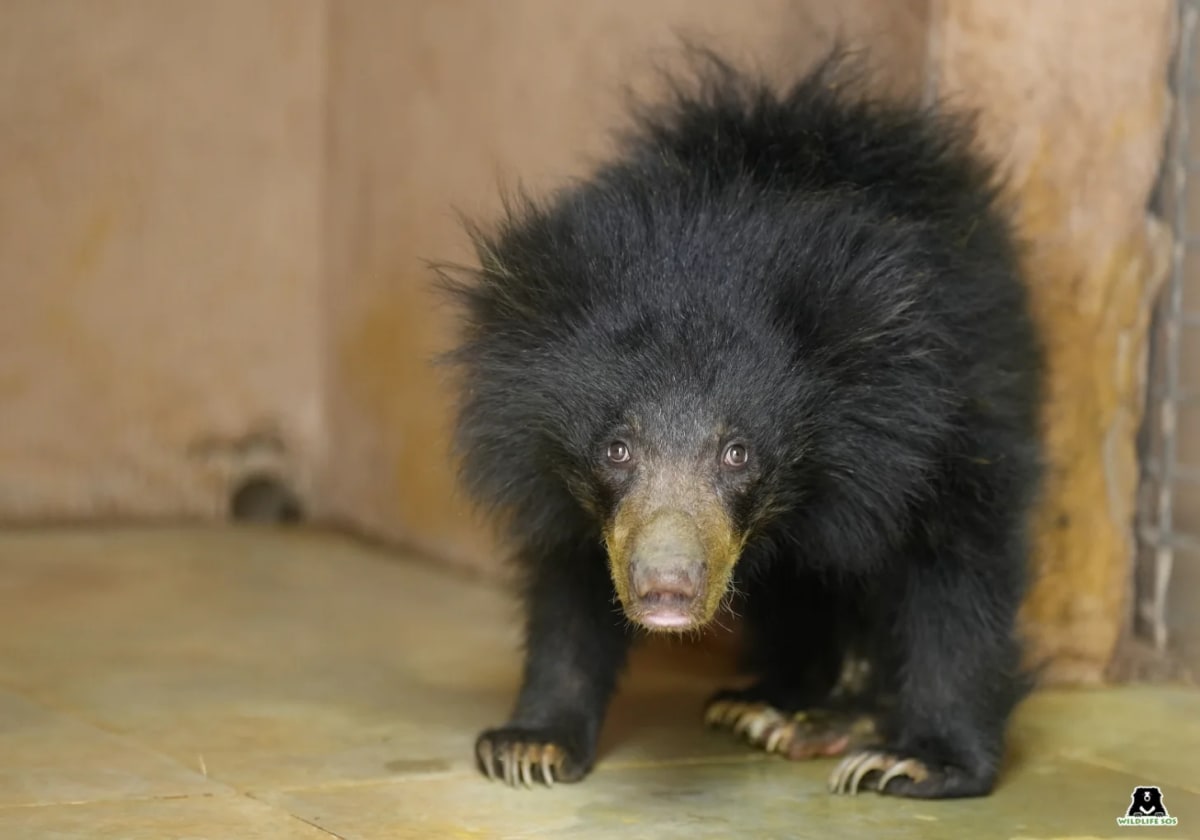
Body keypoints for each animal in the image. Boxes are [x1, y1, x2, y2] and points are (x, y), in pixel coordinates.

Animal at [439, 49, 1044, 800]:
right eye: (616, 449)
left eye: (737, 454)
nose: (666, 589)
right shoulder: (556, 478)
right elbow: (571, 573)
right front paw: (529, 745)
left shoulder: (943, 413)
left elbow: (960, 558)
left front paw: (917, 761)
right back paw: (772, 705)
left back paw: (831, 719)